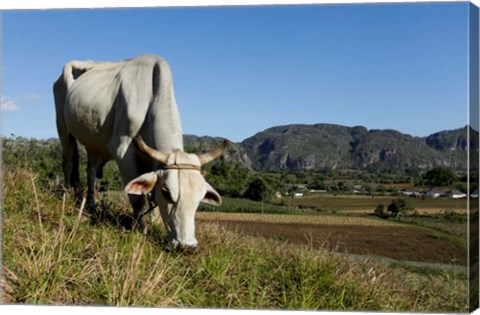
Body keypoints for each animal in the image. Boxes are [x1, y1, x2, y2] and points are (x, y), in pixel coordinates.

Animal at [54, 55, 227, 251]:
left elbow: (151, 198)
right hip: (62, 126)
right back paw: (67, 194)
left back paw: (91, 205)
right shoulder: (124, 153)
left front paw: (155, 224)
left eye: (200, 197)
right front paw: (140, 229)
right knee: (68, 161)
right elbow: (137, 199)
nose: (186, 246)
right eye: (166, 192)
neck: (151, 100)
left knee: (90, 171)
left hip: (93, 143)